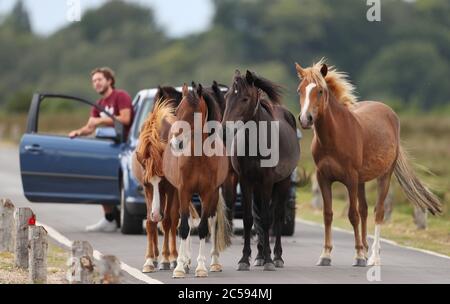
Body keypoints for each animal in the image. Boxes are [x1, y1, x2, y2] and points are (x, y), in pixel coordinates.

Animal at [163, 83, 232, 278]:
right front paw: (179, 267)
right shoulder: (184, 191)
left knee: (212, 222)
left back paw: (214, 262)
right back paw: (184, 261)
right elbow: (184, 228)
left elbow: (203, 228)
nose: (175, 143)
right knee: (182, 221)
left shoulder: (209, 193)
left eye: (194, 113)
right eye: (178, 111)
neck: (199, 157)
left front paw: (201, 268)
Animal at [221, 70, 298, 270]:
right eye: (227, 96)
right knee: (258, 217)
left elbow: (266, 218)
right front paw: (244, 259)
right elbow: (249, 219)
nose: (224, 130)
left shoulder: (267, 182)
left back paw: (276, 256)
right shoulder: (246, 181)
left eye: (245, 98)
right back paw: (260, 256)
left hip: (283, 182)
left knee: (276, 216)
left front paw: (270, 260)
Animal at [296, 58, 442, 266]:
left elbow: (353, 215)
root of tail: (390, 113)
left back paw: (373, 256)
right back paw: (366, 251)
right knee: (365, 210)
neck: (335, 137)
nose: (305, 119)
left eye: (321, 91)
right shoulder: (323, 177)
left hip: (383, 176)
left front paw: (358, 255)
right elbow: (328, 215)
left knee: (378, 212)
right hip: (361, 181)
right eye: (300, 90)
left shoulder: (350, 178)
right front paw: (325, 255)